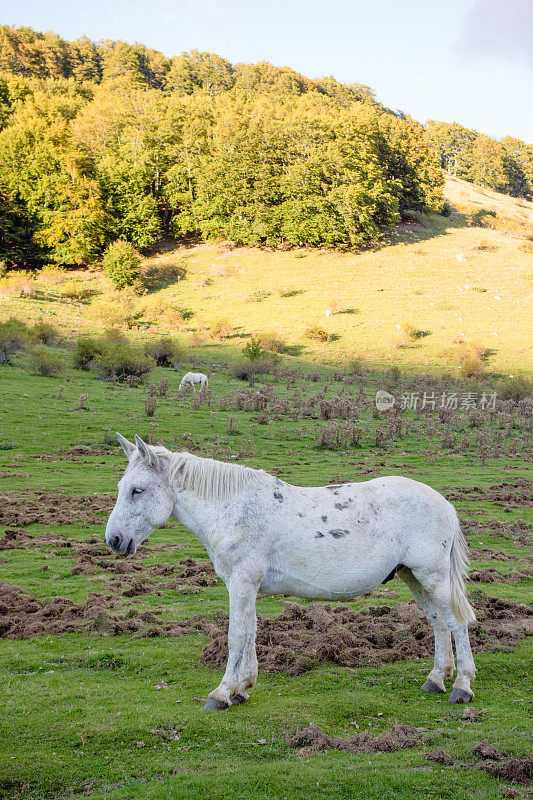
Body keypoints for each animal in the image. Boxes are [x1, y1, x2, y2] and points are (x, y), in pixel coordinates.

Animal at [106, 438, 476, 712]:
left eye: (137, 490)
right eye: (123, 486)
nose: (114, 540)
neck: (233, 509)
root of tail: (443, 503)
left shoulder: (241, 583)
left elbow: (237, 636)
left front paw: (222, 694)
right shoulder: (248, 587)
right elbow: (251, 633)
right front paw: (243, 688)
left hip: (433, 577)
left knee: (455, 622)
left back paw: (461, 686)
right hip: (414, 577)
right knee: (438, 623)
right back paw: (436, 679)